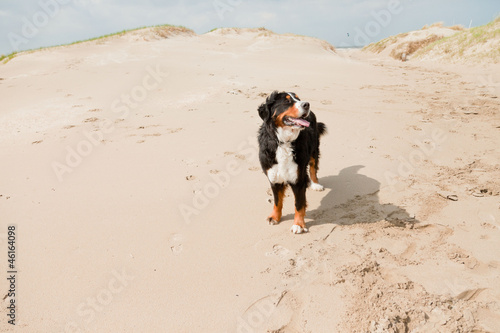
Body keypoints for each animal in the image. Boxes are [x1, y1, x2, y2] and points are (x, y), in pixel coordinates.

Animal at [260, 89, 326, 232]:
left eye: (298, 99)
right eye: (287, 101)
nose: (307, 104)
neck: (283, 141)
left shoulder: (298, 179)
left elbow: (299, 204)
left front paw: (298, 224)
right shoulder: (274, 178)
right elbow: (277, 201)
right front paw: (274, 217)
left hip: (314, 150)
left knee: (313, 167)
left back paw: (315, 184)